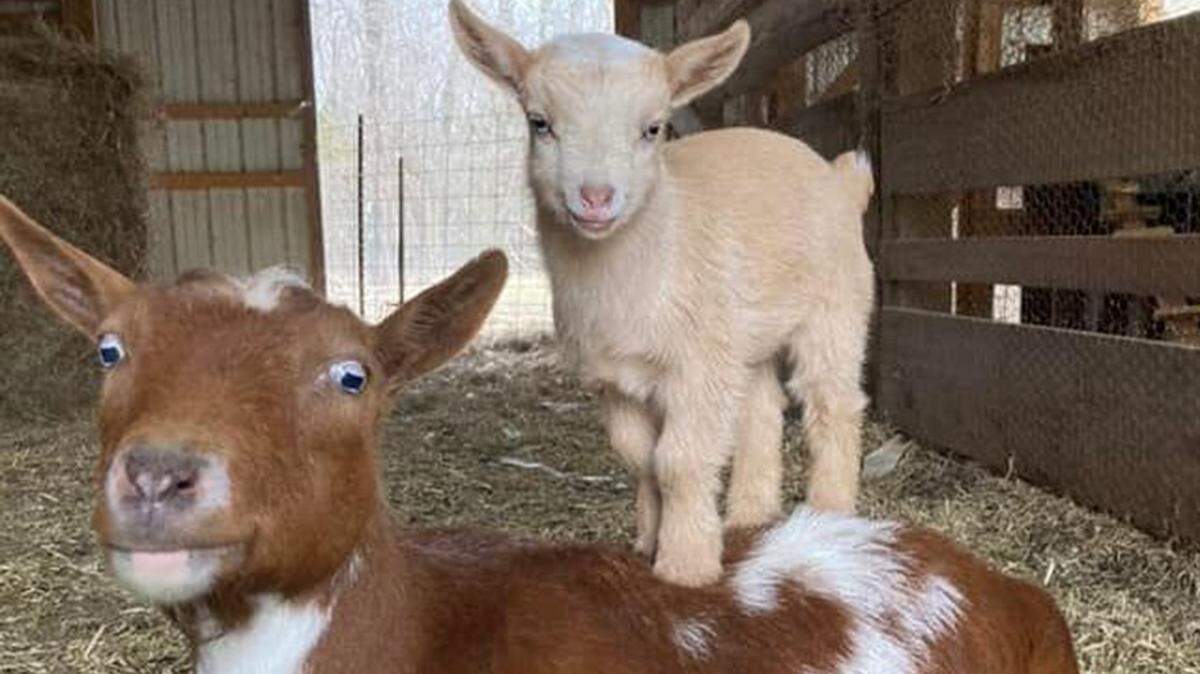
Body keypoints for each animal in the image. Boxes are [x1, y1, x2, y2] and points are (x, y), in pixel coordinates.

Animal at [449, 0, 877, 586]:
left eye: (653, 128)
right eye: (539, 123)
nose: (596, 197)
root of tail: (841, 180)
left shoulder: (697, 365)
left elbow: (679, 460)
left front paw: (685, 565)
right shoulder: (615, 380)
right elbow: (640, 458)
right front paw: (647, 544)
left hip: (836, 309)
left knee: (832, 405)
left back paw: (830, 515)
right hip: (742, 335)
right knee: (761, 413)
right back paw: (748, 519)